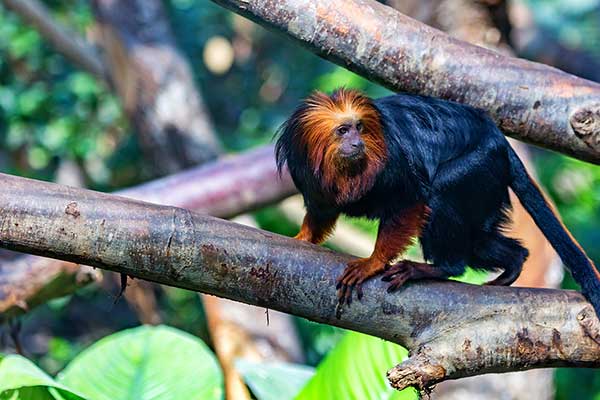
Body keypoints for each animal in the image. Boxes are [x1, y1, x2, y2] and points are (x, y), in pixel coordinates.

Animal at [276, 86, 600, 316]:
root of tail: (497, 138)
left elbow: (411, 201)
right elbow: (321, 211)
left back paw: (438, 268)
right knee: (478, 243)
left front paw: (373, 263)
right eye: (343, 130)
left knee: (442, 195)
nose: (357, 143)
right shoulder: (307, 174)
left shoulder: (394, 168)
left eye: (360, 128)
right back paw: (514, 262)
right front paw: (303, 237)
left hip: (480, 163)